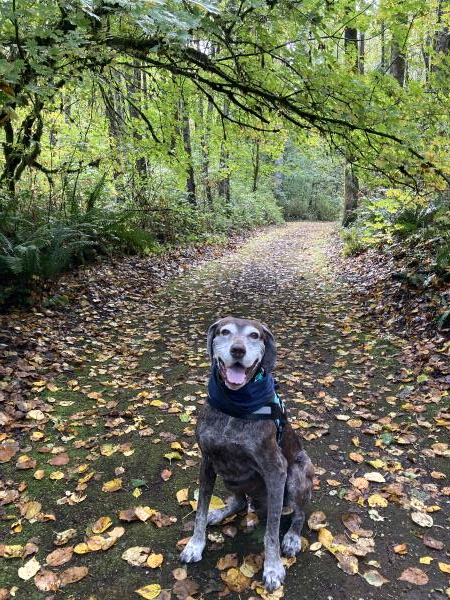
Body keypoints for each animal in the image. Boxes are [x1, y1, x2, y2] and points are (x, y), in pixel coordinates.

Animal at [179, 316, 312, 592]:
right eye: (225, 332)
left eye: (254, 335)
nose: (238, 350)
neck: (235, 404)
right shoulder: (207, 462)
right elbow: (200, 511)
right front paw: (195, 545)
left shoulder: (276, 471)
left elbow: (271, 533)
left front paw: (272, 568)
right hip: (232, 477)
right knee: (240, 502)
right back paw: (219, 513)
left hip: (297, 474)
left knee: (299, 513)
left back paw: (292, 538)